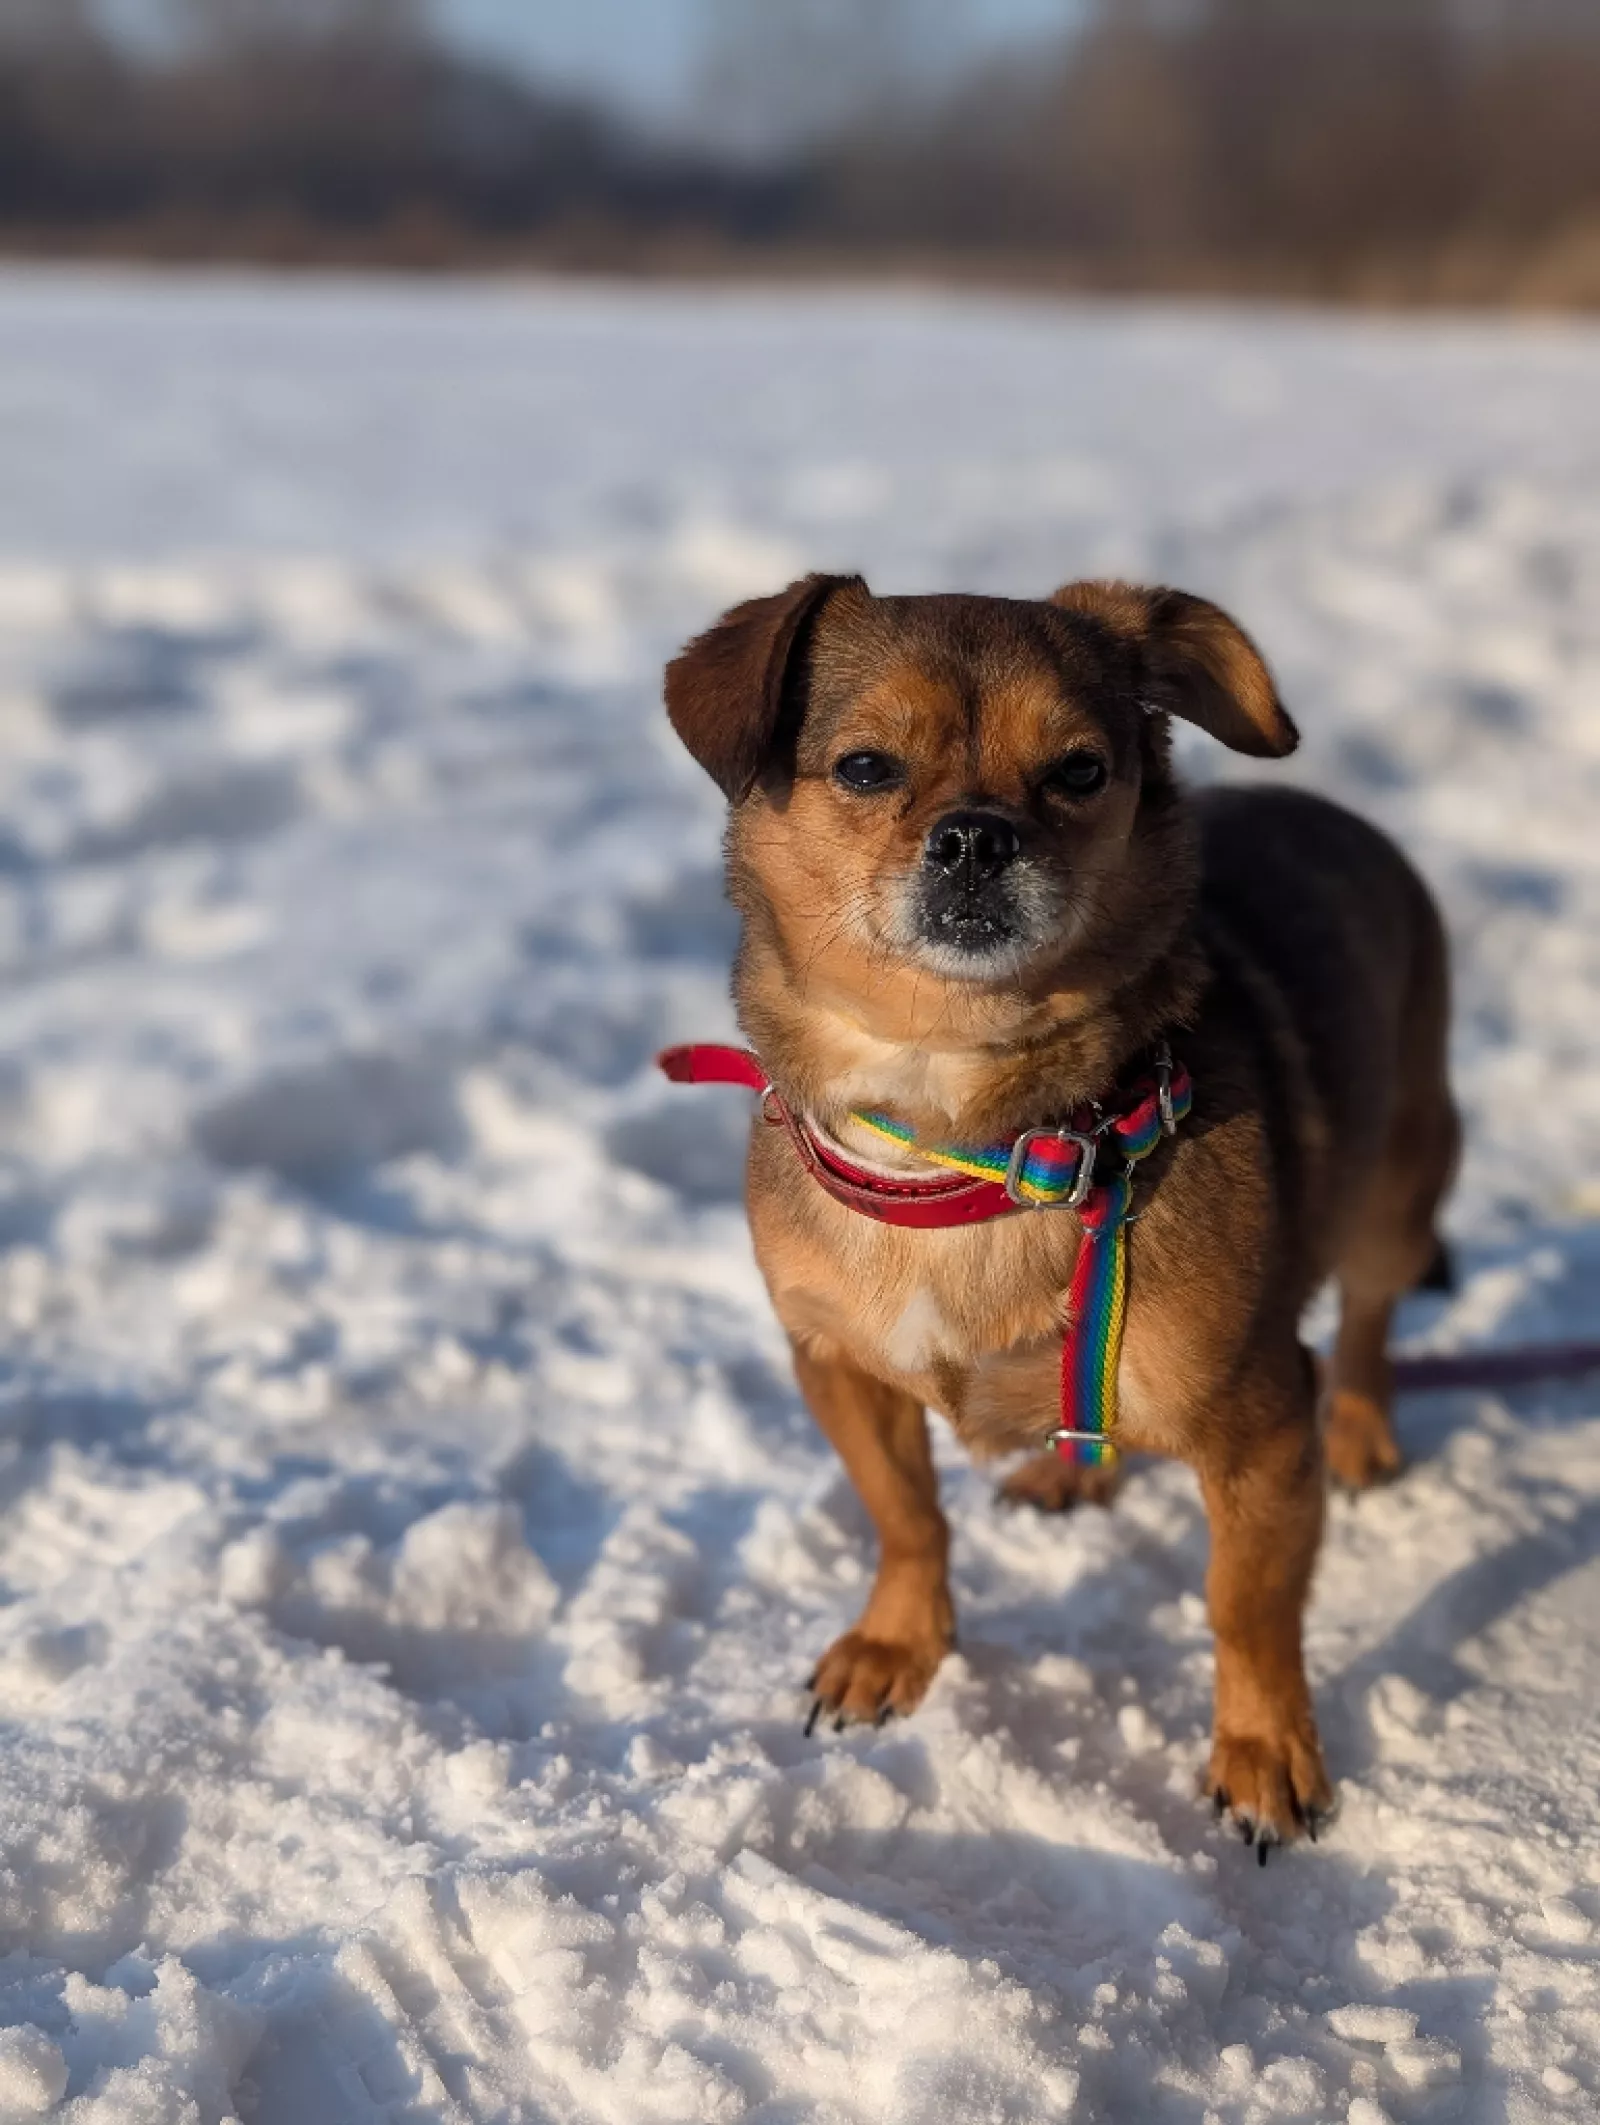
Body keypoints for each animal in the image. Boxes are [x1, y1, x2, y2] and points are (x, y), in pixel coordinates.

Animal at [661, 574, 1457, 1857]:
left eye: (1080, 770)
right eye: (866, 766)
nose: (977, 834)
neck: (965, 1137)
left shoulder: (1258, 1426)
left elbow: (1246, 1605)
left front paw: (1263, 1754)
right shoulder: (836, 1364)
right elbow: (905, 1516)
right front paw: (897, 1646)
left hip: (1398, 1187)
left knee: (1372, 1318)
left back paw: (1360, 1431)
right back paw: (1069, 1471)